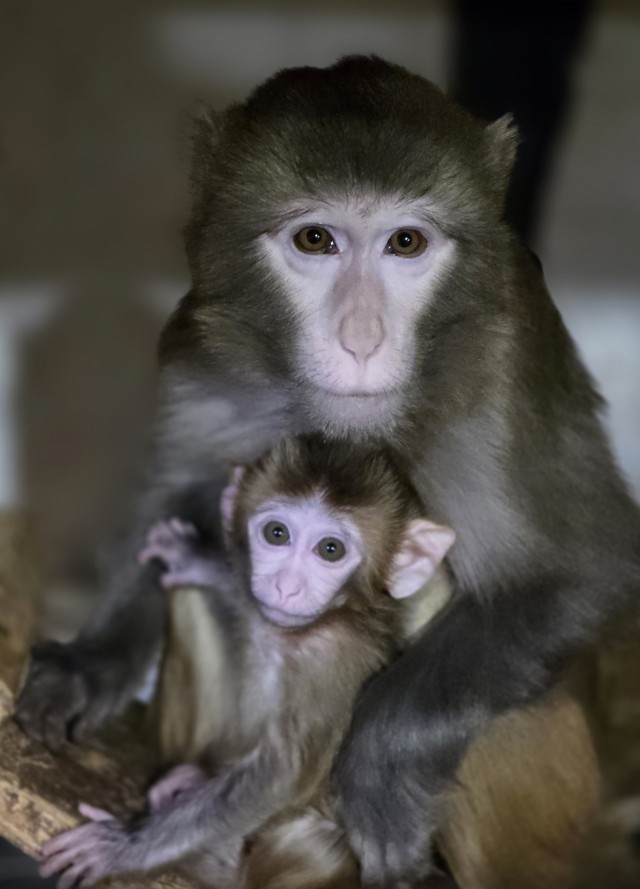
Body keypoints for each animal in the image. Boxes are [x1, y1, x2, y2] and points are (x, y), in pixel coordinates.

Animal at [39, 435, 456, 889]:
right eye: (277, 533)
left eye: (331, 550)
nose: (286, 586)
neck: (298, 636)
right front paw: (201, 561)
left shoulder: (327, 655)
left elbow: (280, 772)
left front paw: (122, 846)